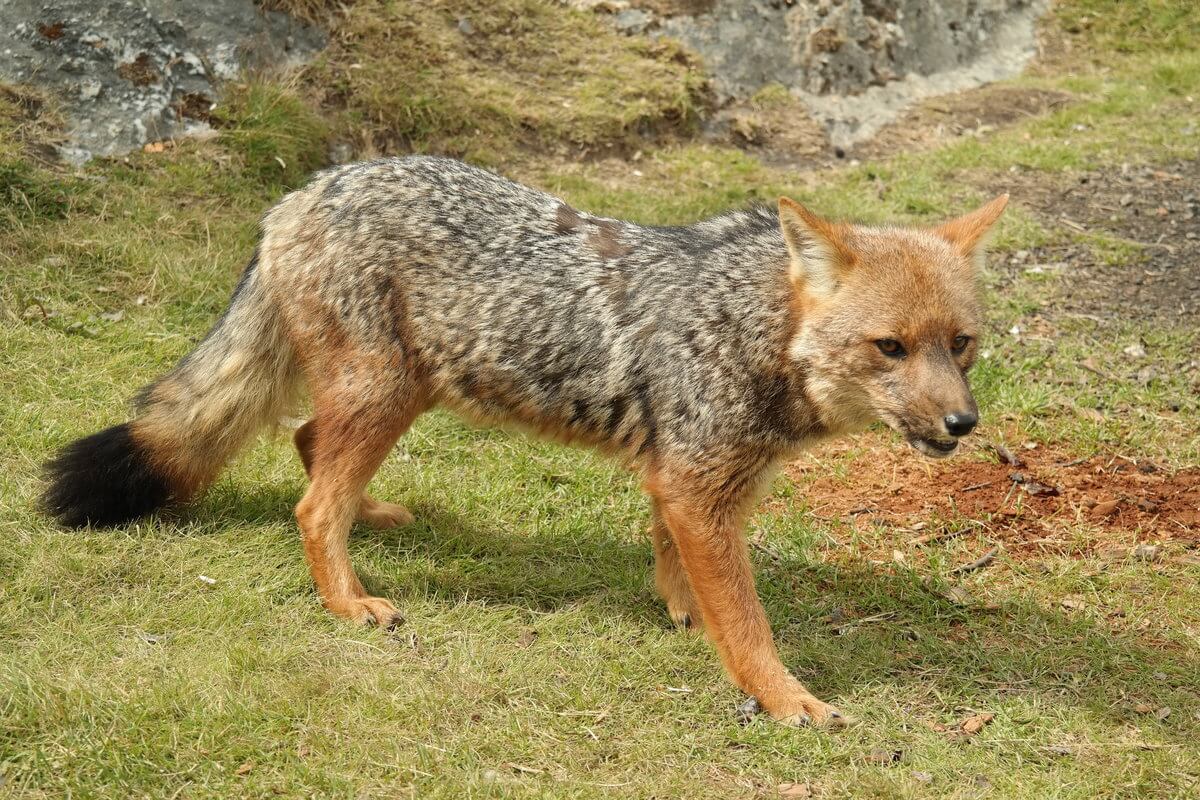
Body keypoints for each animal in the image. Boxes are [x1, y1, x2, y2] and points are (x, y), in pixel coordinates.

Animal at [42, 154, 1008, 724]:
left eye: (960, 344)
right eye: (890, 348)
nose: (963, 425)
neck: (754, 325)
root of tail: (306, 190)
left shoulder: (683, 479)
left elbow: (678, 562)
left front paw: (683, 612)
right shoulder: (699, 485)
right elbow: (750, 621)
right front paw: (784, 697)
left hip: (394, 395)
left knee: (313, 448)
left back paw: (375, 517)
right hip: (387, 393)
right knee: (310, 507)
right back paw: (350, 601)